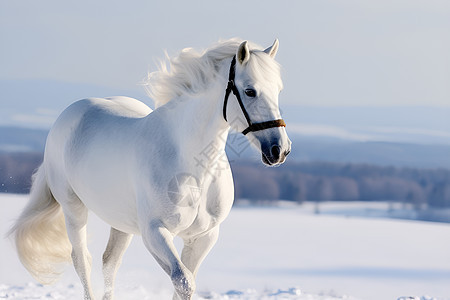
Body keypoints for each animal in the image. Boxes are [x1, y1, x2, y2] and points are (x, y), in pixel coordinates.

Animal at [7, 38, 292, 298]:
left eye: (278, 90)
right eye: (250, 91)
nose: (280, 150)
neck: (193, 168)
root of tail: (67, 115)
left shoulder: (204, 236)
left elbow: (184, 281)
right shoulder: (155, 232)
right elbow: (183, 281)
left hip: (120, 221)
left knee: (110, 263)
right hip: (73, 208)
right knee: (82, 260)